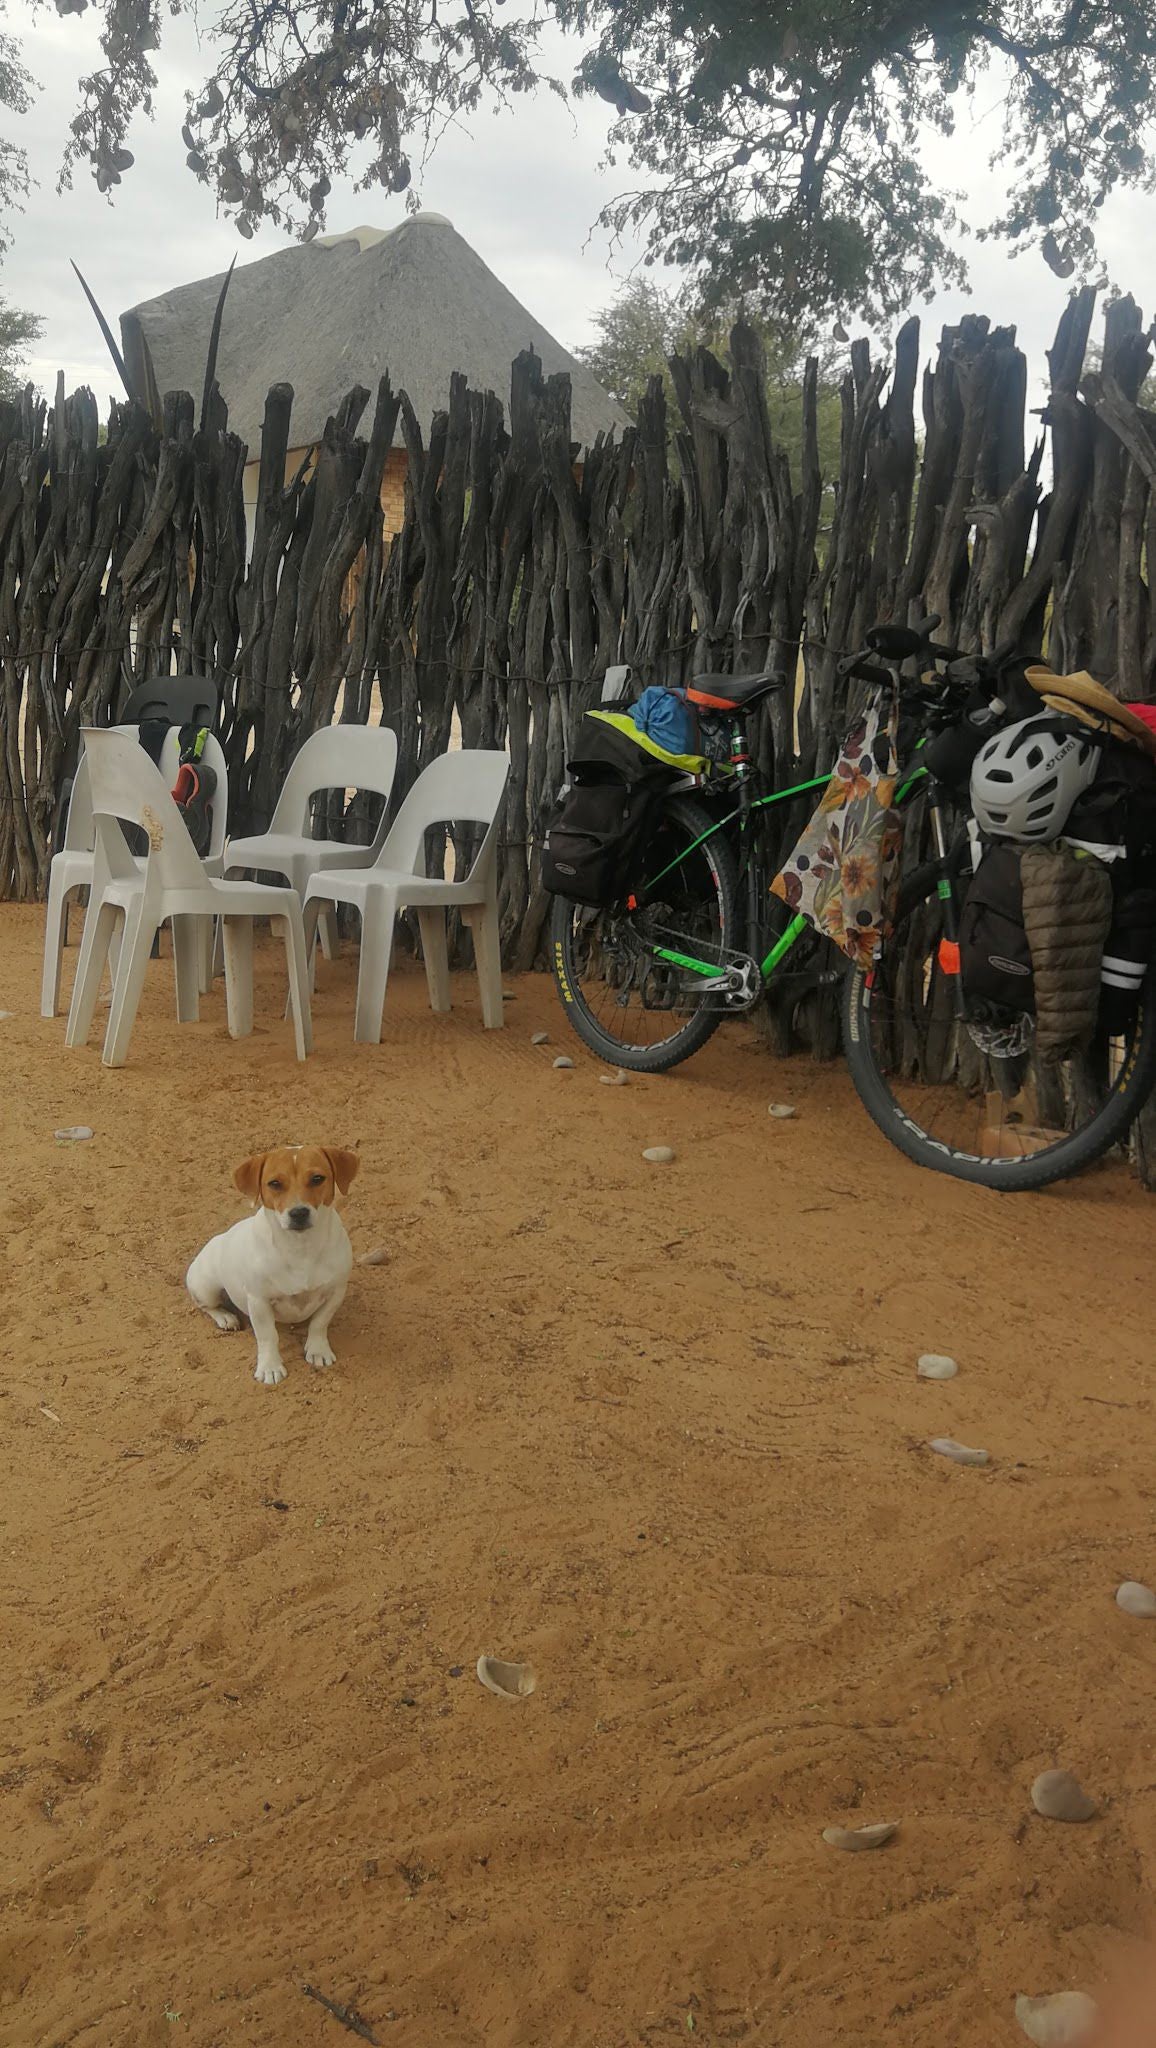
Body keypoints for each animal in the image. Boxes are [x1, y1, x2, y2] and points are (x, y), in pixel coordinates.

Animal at [187, 1146, 358, 1384]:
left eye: (317, 1178)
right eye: (274, 1183)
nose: (298, 1212)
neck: (300, 1249)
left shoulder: (336, 1292)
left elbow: (319, 1323)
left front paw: (318, 1350)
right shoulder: (259, 1301)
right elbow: (268, 1336)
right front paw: (270, 1367)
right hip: (206, 1287)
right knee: (206, 1306)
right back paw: (225, 1317)